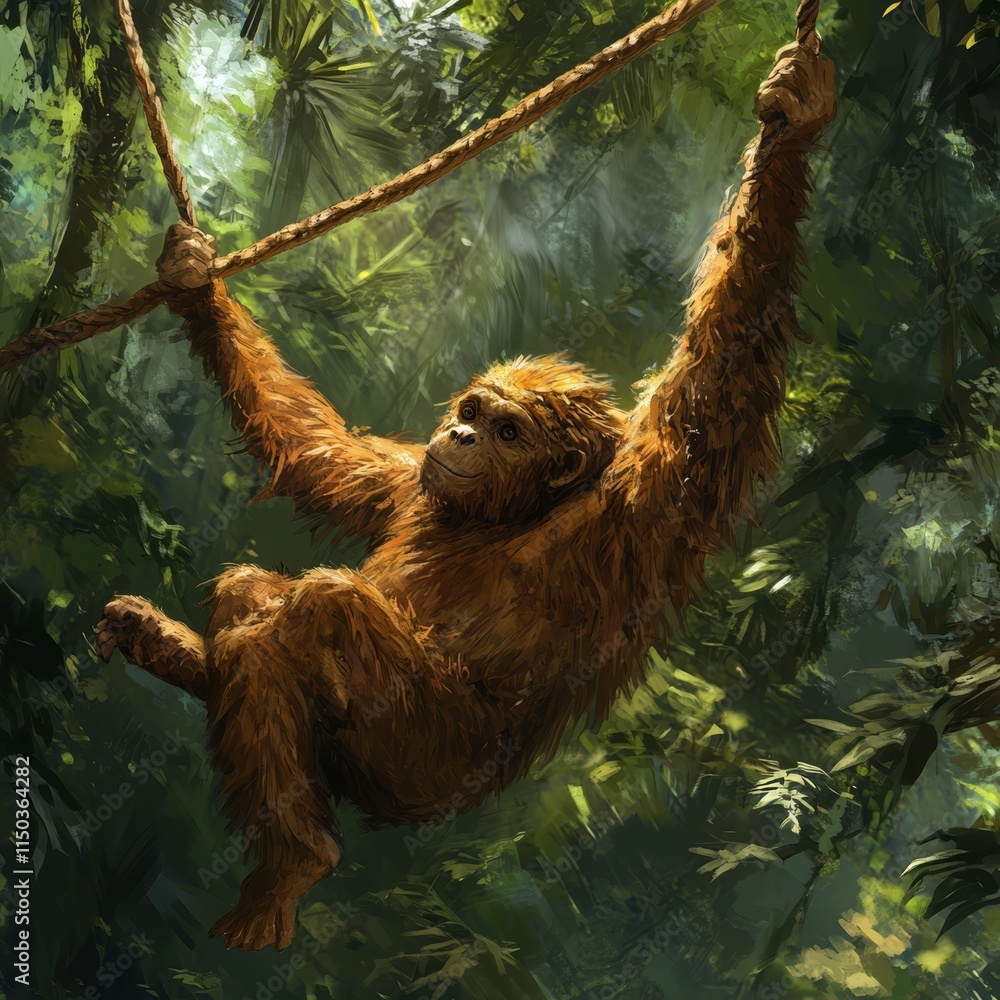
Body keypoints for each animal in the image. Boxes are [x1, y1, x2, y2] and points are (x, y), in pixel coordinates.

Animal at [93, 40, 836, 951]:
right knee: (252, 594)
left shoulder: (639, 509)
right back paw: (186, 655)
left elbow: (719, 376)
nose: (465, 435)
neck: (504, 517)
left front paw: (795, 117)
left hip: (417, 754)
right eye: (476, 413)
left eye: (511, 431)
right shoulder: (408, 480)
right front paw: (194, 277)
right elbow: (319, 452)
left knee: (324, 609)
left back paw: (295, 858)